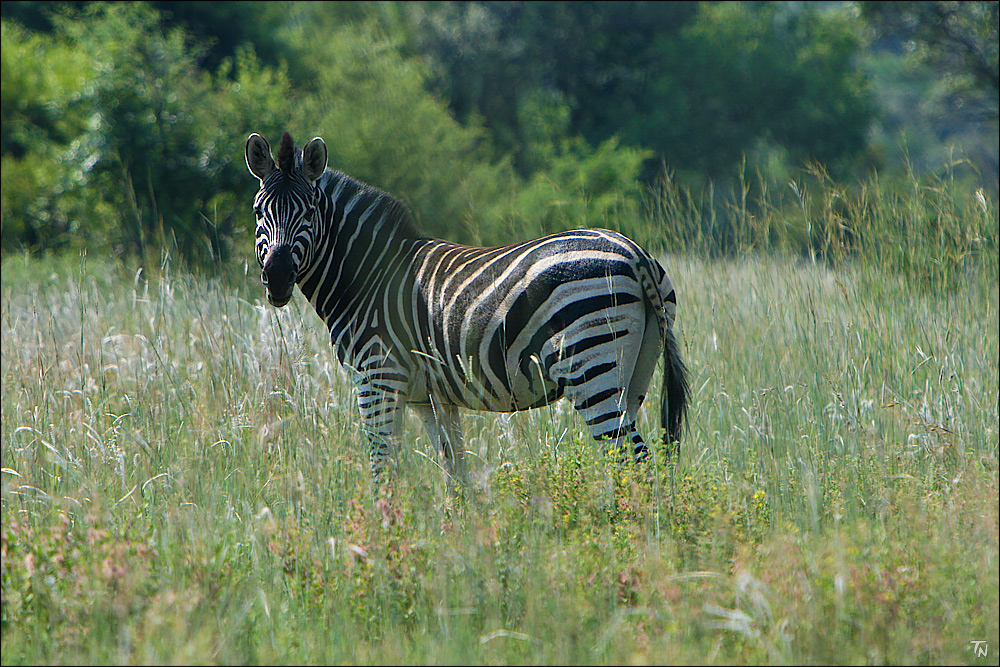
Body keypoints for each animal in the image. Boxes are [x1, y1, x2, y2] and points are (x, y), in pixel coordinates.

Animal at [244, 132, 688, 486]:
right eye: (258, 211)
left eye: (309, 211)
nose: (277, 278)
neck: (370, 273)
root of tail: (633, 252)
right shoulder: (431, 396)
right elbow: (454, 469)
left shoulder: (378, 376)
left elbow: (383, 466)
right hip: (636, 369)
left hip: (590, 365)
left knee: (631, 458)